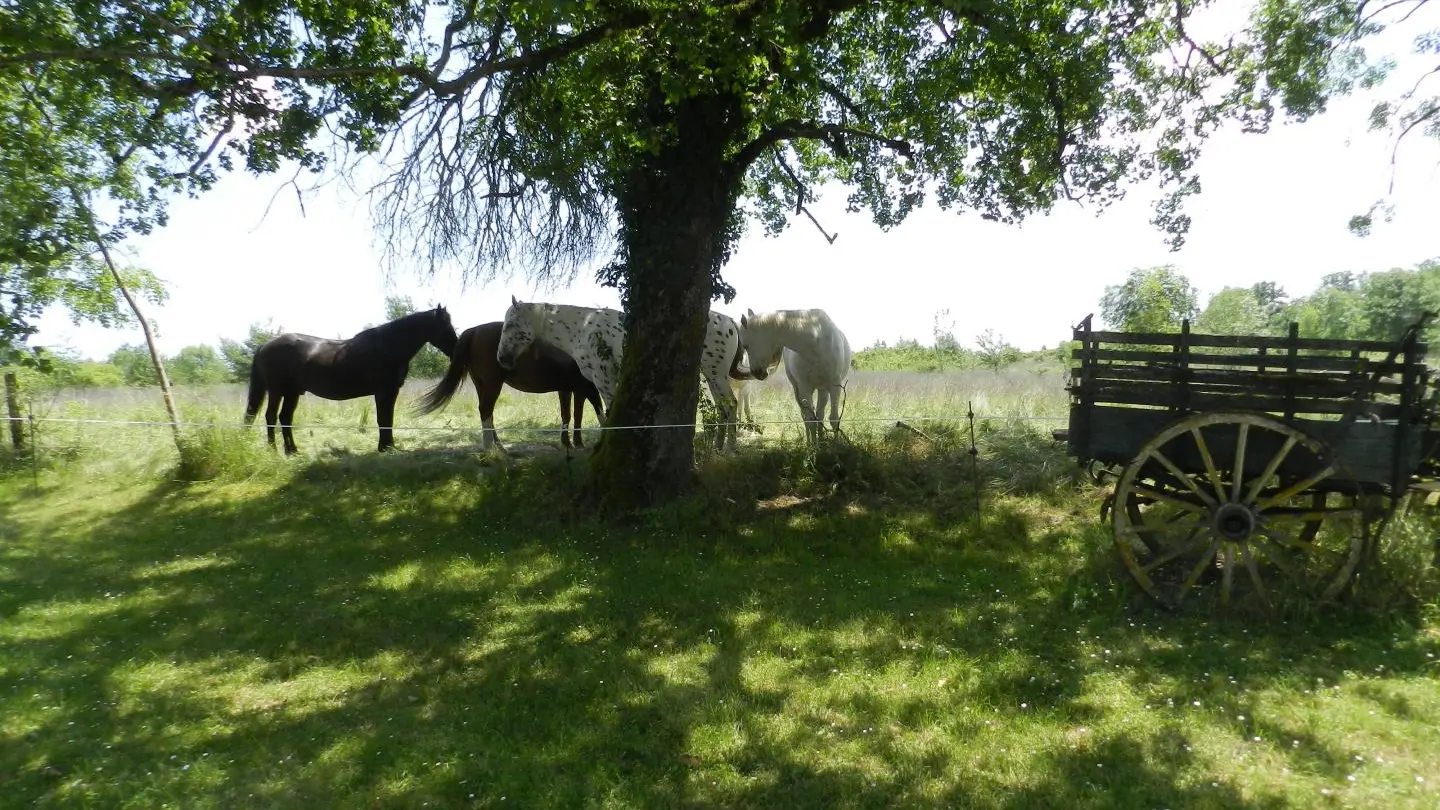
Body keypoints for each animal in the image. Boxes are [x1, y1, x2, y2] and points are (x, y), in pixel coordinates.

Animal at [241, 304, 455, 455]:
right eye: (445, 325)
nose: (455, 348)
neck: (387, 347)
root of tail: (265, 345)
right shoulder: (384, 391)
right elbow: (383, 418)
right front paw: (385, 447)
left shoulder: (390, 391)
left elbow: (388, 418)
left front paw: (389, 446)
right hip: (277, 390)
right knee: (271, 417)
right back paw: (274, 450)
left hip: (292, 392)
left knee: (285, 418)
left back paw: (292, 450)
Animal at [411, 319, 601, 446]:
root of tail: (474, 330)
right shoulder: (584, 389)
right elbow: (590, 412)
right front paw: (579, 443)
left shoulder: (567, 389)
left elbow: (568, 414)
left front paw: (568, 442)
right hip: (492, 383)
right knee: (486, 410)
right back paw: (491, 450)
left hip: (481, 384)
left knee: (487, 412)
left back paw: (498, 446)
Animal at [495, 295, 748, 446]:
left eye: (510, 325)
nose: (502, 359)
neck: (582, 330)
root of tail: (729, 321)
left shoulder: (603, 382)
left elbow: (608, 417)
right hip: (712, 377)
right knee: (723, 408)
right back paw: (718, 448)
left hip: (715, 375)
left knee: (731, 406)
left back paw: (729, 449)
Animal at [737, 305, 846, 441]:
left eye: (746, 345)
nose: (757, 373)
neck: (816, 337)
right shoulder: (804, 387)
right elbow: (810, 420)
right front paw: (813, 446)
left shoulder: (835, 385)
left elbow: (834, 419)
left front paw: (836, 444)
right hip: (799, 389)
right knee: (807, 416)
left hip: (823, 388)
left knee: (820, 414)